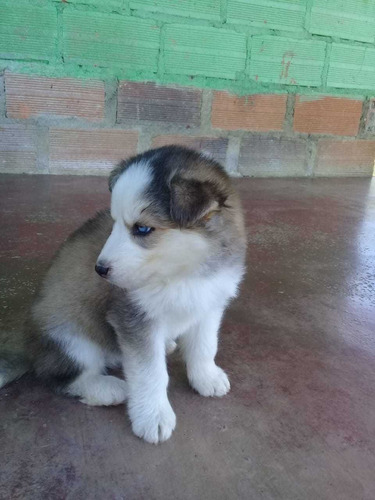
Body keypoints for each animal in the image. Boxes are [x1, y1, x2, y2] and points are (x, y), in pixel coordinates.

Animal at [5, 146, 250, 444]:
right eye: (114, 223)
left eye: (142, 228)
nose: (99, 269)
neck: (184, 273)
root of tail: (28, 348)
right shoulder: (133, 318)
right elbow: (150, 373)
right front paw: (153, 416)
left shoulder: (209, 305)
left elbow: (204, 346)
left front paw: (206, 377)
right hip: (69, 338)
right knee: (62, 377)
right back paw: (110, 389)